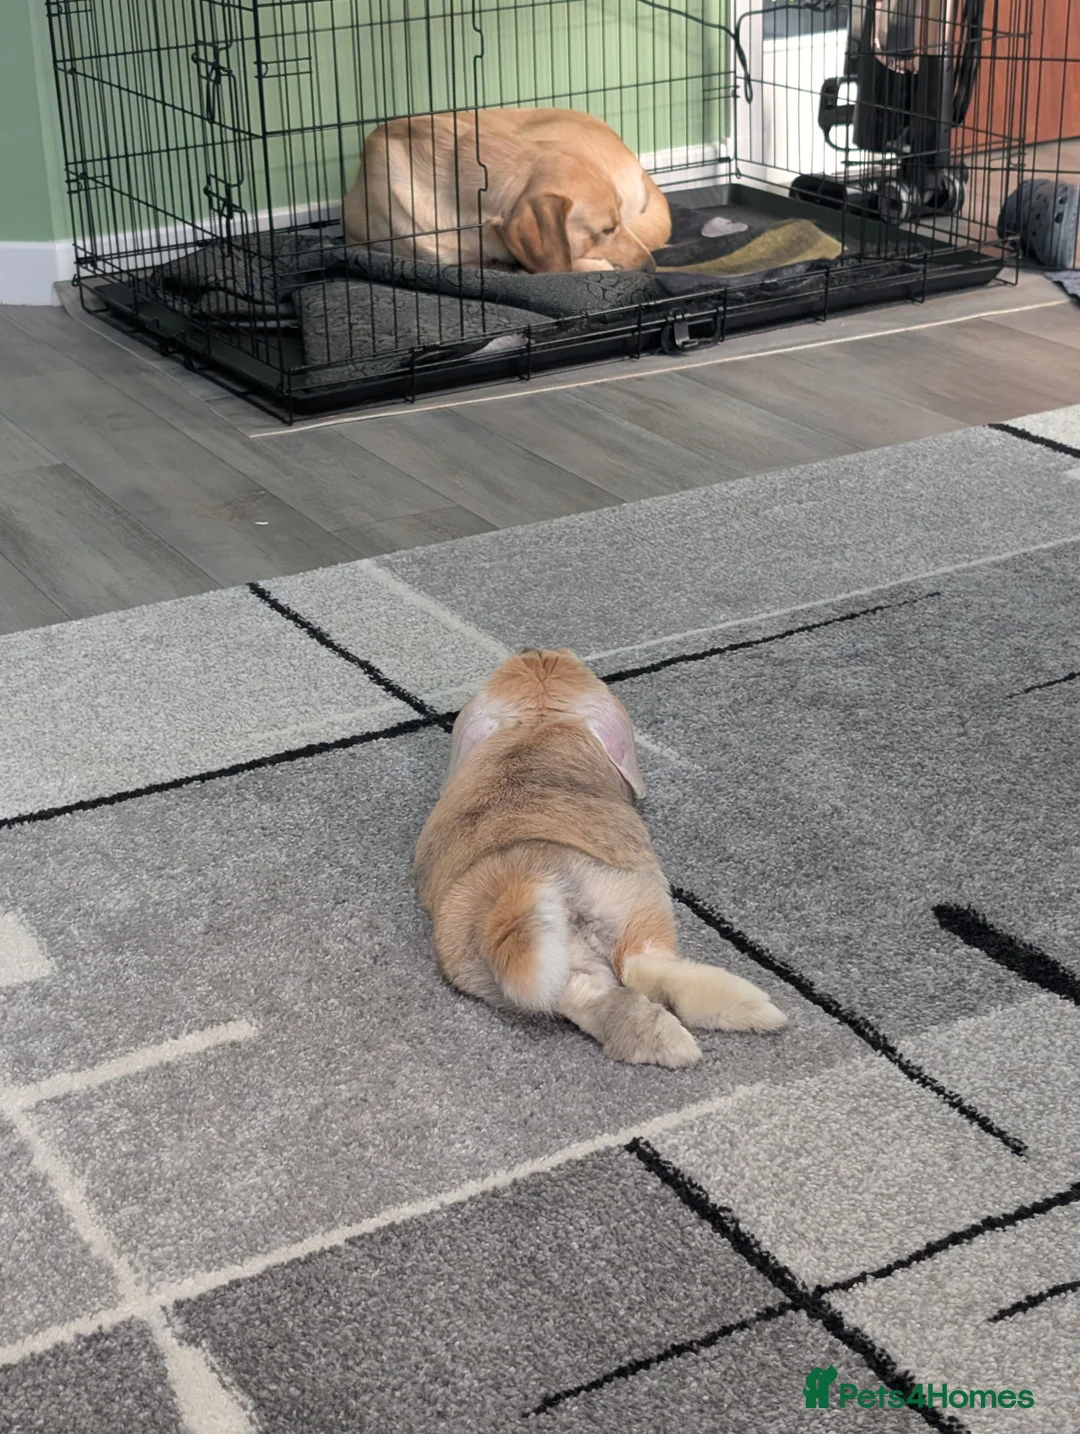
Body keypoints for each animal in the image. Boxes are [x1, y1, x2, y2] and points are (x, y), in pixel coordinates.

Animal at [414, 648, 786, 1067]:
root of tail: (515, 887)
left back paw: (679, 1035)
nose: (533, 649)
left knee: (600, 990)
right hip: (632, 897)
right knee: (641, 966)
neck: (538, 722)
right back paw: (731, 1020)